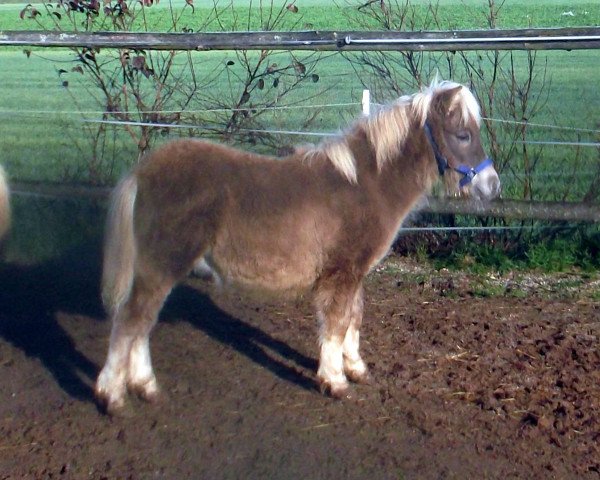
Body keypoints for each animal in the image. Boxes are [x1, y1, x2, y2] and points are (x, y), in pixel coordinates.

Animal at [97, 79, 502, 412]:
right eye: (462, 135)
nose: (492, 185)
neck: (365, 185)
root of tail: (143, 170)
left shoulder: (354, 273)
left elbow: (353, 317)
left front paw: (356, 369)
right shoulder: (343, 272)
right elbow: (336, 323)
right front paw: (334, 381)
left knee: (143, 323)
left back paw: (146, 388)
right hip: (160, 265)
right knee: (132, 320)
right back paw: (113, 396)